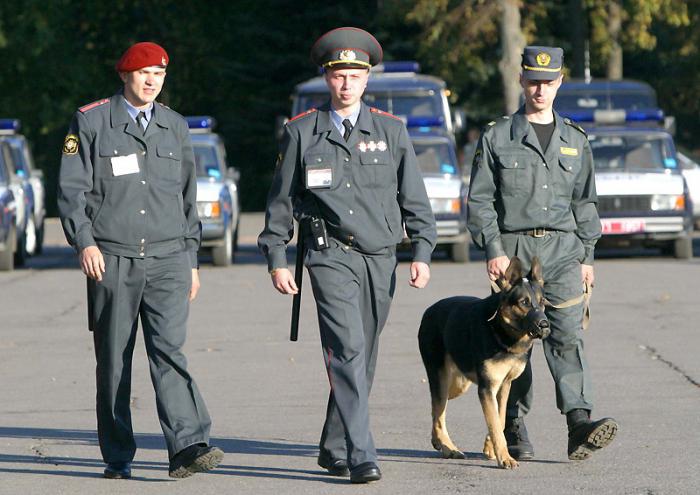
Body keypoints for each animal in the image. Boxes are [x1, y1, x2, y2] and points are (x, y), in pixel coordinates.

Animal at [418, 258, 548, 470]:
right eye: (524, 303)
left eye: (542, 302)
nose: (545, 325)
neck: (503, 331)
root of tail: (429, 310)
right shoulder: (487, 388)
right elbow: (494, 423)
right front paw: (504, 457)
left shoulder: (504, 385)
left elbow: (499, 418)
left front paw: (491, 448)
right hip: (442, 379)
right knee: (438, 412)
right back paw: (448, 447)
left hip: (458, 384)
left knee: (436, 409)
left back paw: (439, 443)